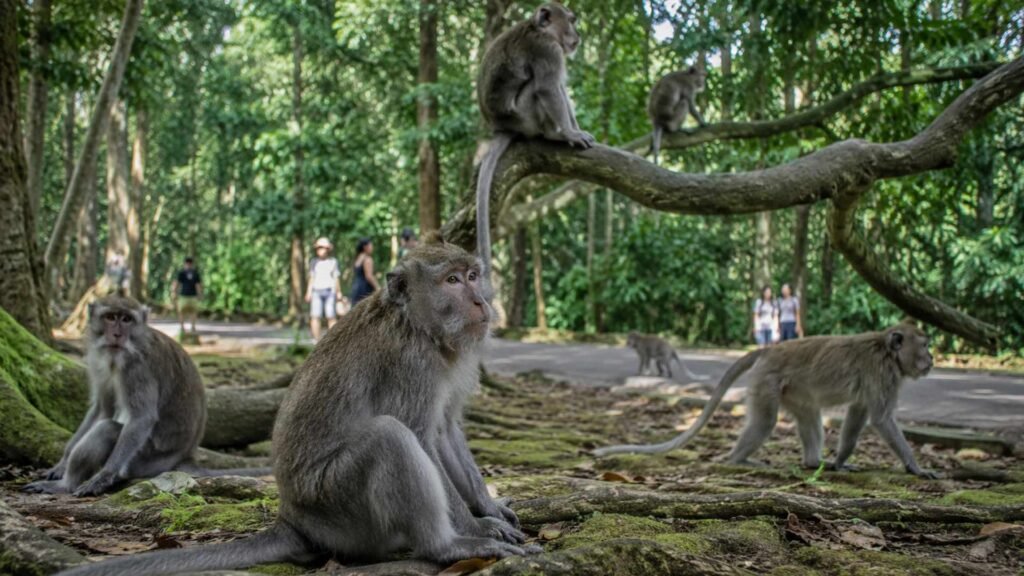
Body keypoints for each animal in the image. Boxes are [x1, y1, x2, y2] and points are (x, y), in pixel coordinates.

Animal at [55, 237, 536, 576]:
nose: (481, 301)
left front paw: (487, 507)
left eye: (472, 275)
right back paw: (446, 546)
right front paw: (475, 527)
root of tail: (293, 518)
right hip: (336, 505)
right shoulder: (409, 364)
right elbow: (421, 435)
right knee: (390, 438)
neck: (419, 326)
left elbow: (446, 430)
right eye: (451, 281)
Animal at [476, 2, 595, 280]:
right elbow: (548, 89)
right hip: (526, 117)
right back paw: (555, 134)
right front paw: (570, 133)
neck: (540, 30)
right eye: (571, 21)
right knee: (541, 87)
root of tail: (501, 126)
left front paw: (577, 130)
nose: (577, 35)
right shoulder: (548, 50)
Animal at [597, 324, 939, 479]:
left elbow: (858, 413)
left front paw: (841, 461)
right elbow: (881, 418)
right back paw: (738, 460)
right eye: (923, 345)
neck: (889, 353)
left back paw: (813, 461)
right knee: (765, 422)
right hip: (766, 382)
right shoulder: (882, 375)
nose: (932, 358)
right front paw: (916, 467)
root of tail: (770, 349)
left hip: (792, 390)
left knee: (809, 415)